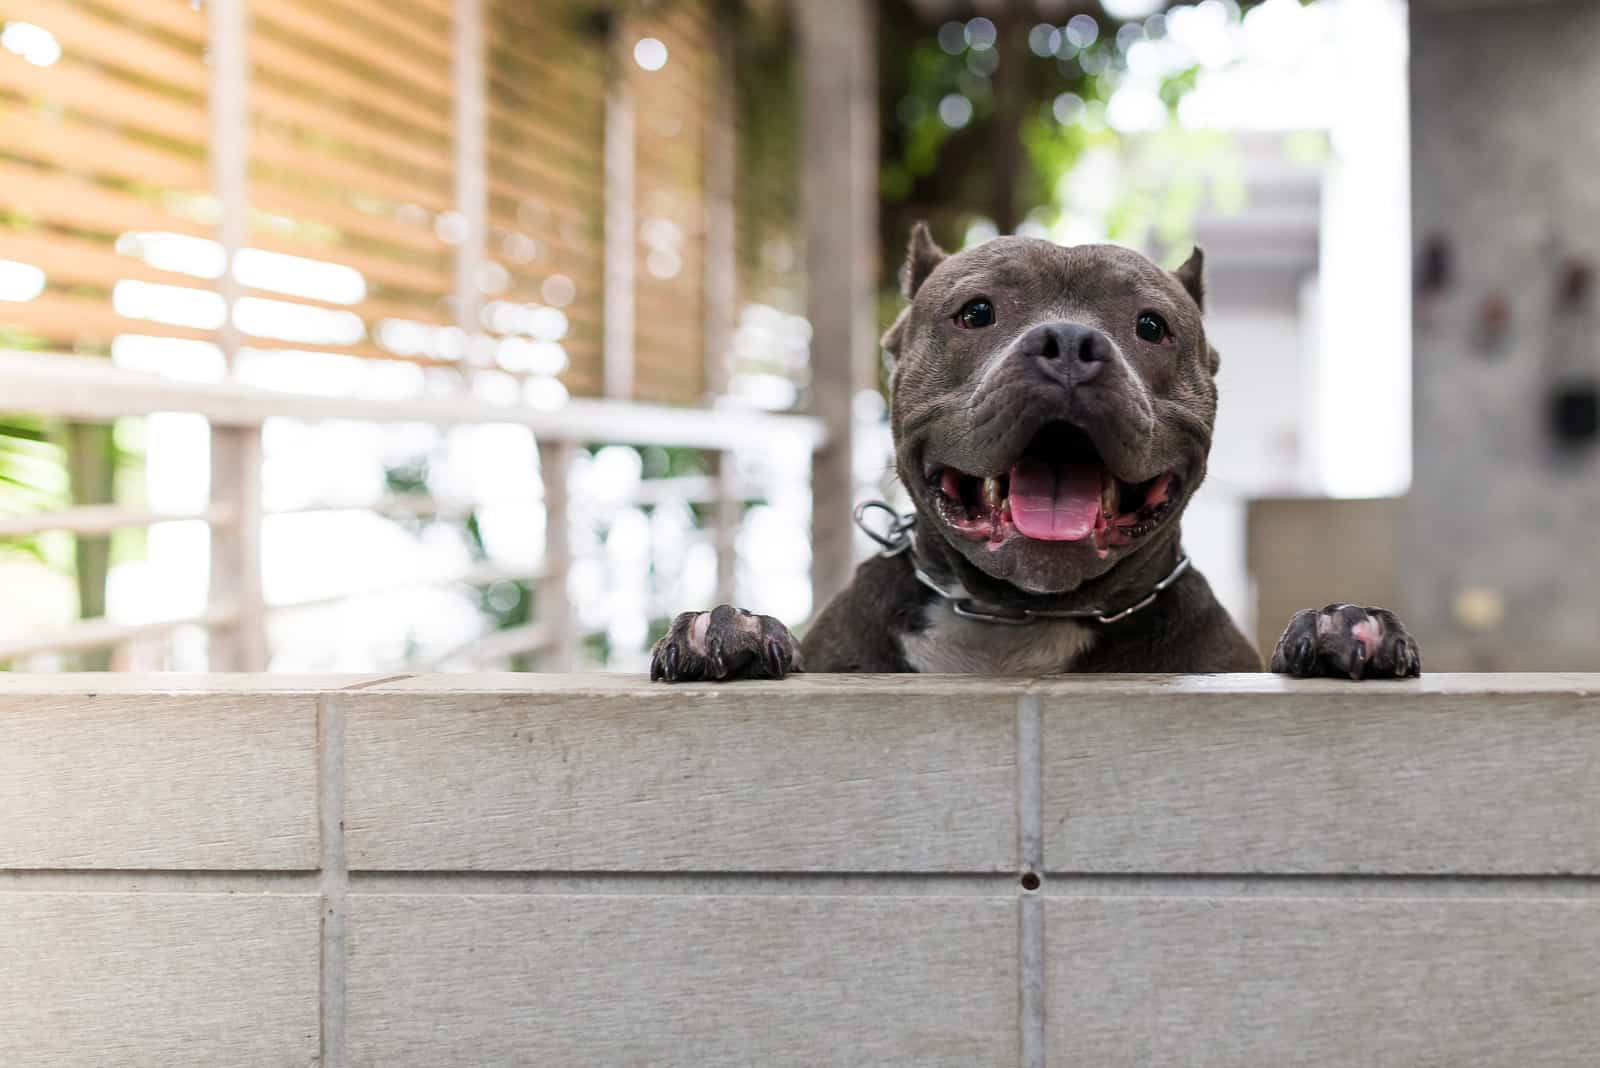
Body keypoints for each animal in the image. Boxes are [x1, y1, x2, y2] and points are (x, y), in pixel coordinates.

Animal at [643, 227, 1420, 684]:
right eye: (977, 312)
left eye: (1151, 326)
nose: (1070, 343)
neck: (1016, 620)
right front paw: (729, 630)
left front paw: (1341, 626)